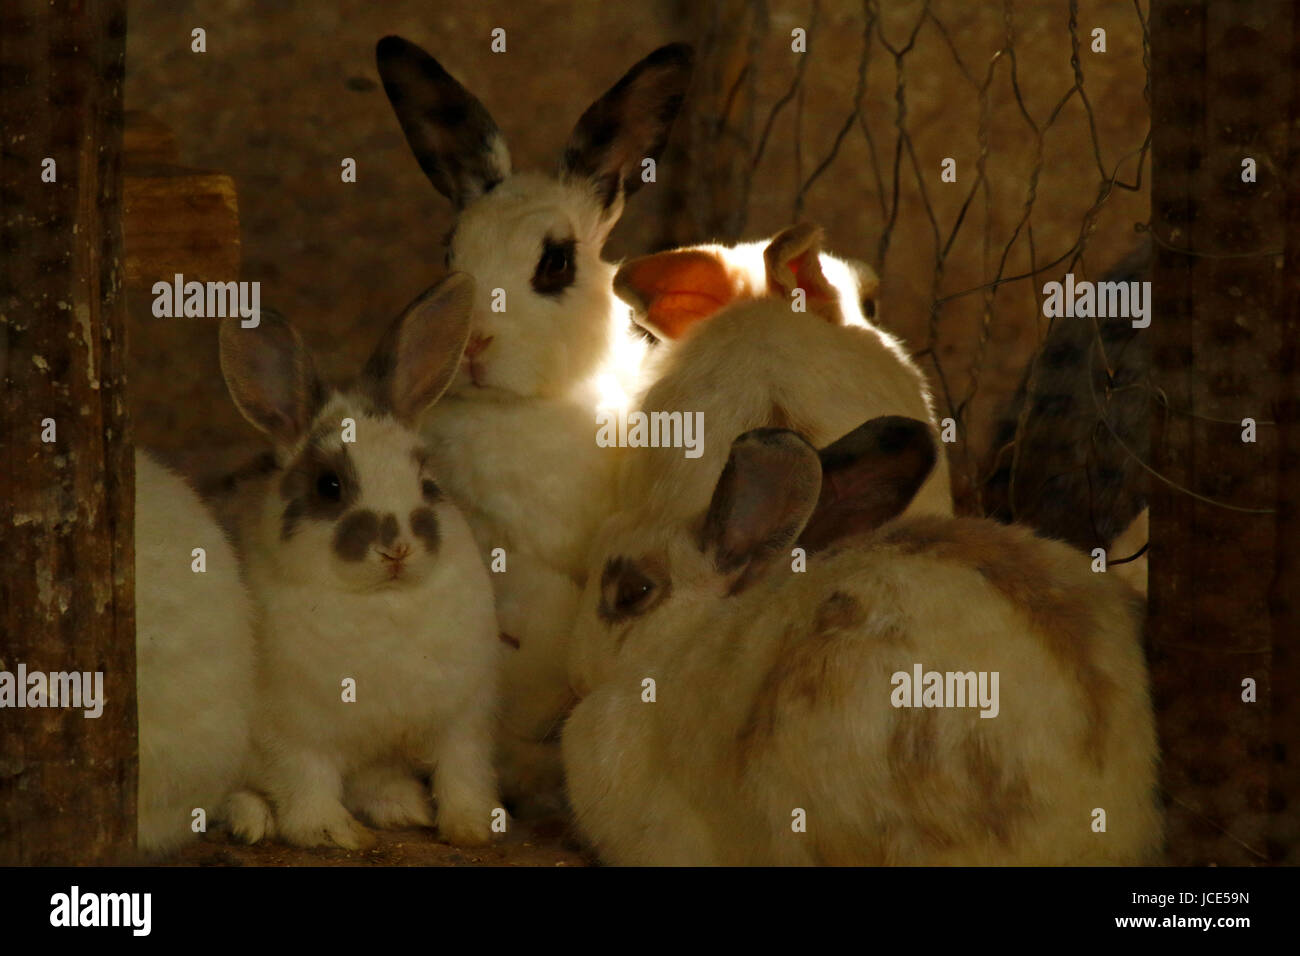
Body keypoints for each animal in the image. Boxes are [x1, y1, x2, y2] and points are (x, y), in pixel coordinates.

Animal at [215, 273, 499, 848]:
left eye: (427, 480)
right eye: (330, 486)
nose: (398, 547)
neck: (383, 601)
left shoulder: (462, 723)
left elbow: (461, 773)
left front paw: (471, 827)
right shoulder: (292, 736)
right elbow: (307, 783)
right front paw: (334, 833)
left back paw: (404, 806)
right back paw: (251, 820)